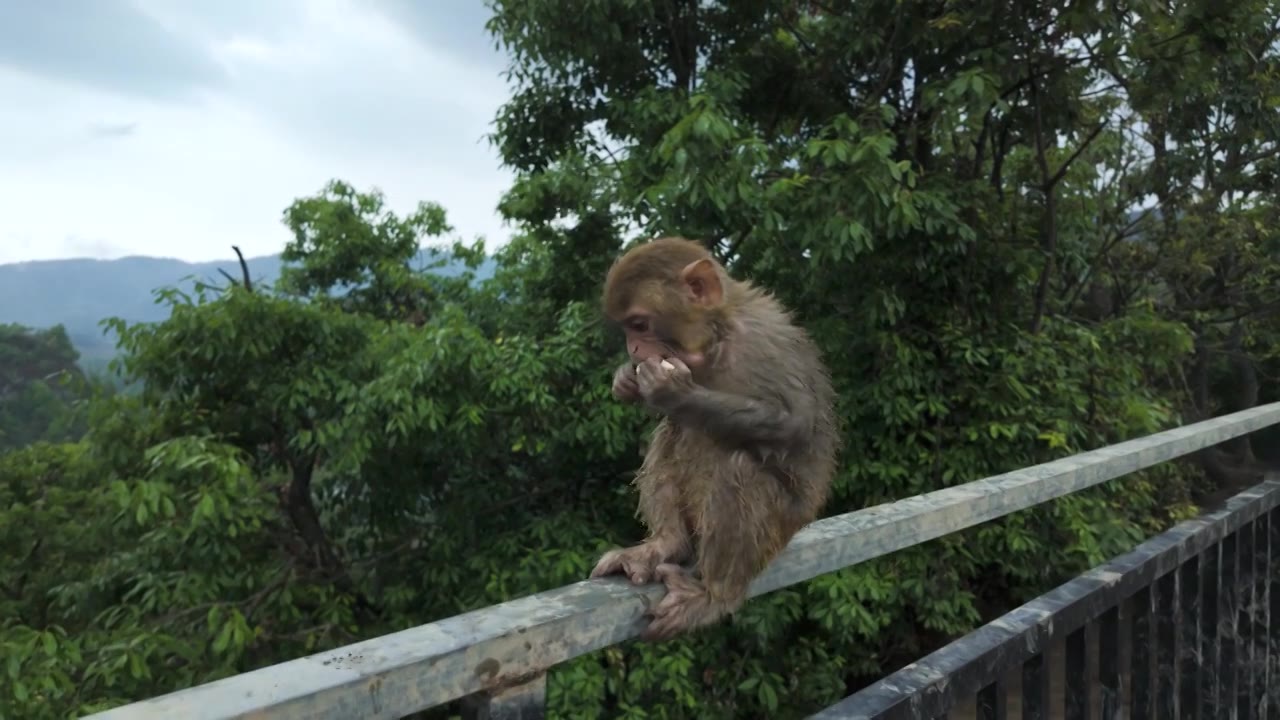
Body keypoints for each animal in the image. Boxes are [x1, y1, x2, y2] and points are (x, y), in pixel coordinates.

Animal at [588, 235, 839, 638]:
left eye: (640, 324)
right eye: (628, 329)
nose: (633, 349)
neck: (718, 337)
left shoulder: (766, 341)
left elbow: (797, 423)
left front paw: (673, 393)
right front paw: (626, 378)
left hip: (780, 528)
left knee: (740, 469)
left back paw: (714, 595)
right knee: (673, 432)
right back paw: (666, 544)